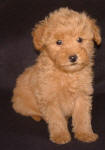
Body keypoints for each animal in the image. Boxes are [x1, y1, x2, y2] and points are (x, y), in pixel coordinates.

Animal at [11, 7, 101, 144]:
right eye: (59, 42)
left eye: (80, 39)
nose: (73, 57)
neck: (67, 74)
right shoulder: (49, 98)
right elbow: (56, 118)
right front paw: (60, 135)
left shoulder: (82, 95)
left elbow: (82, 117)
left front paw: (85, 134)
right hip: (21, 104)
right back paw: (37, 116)